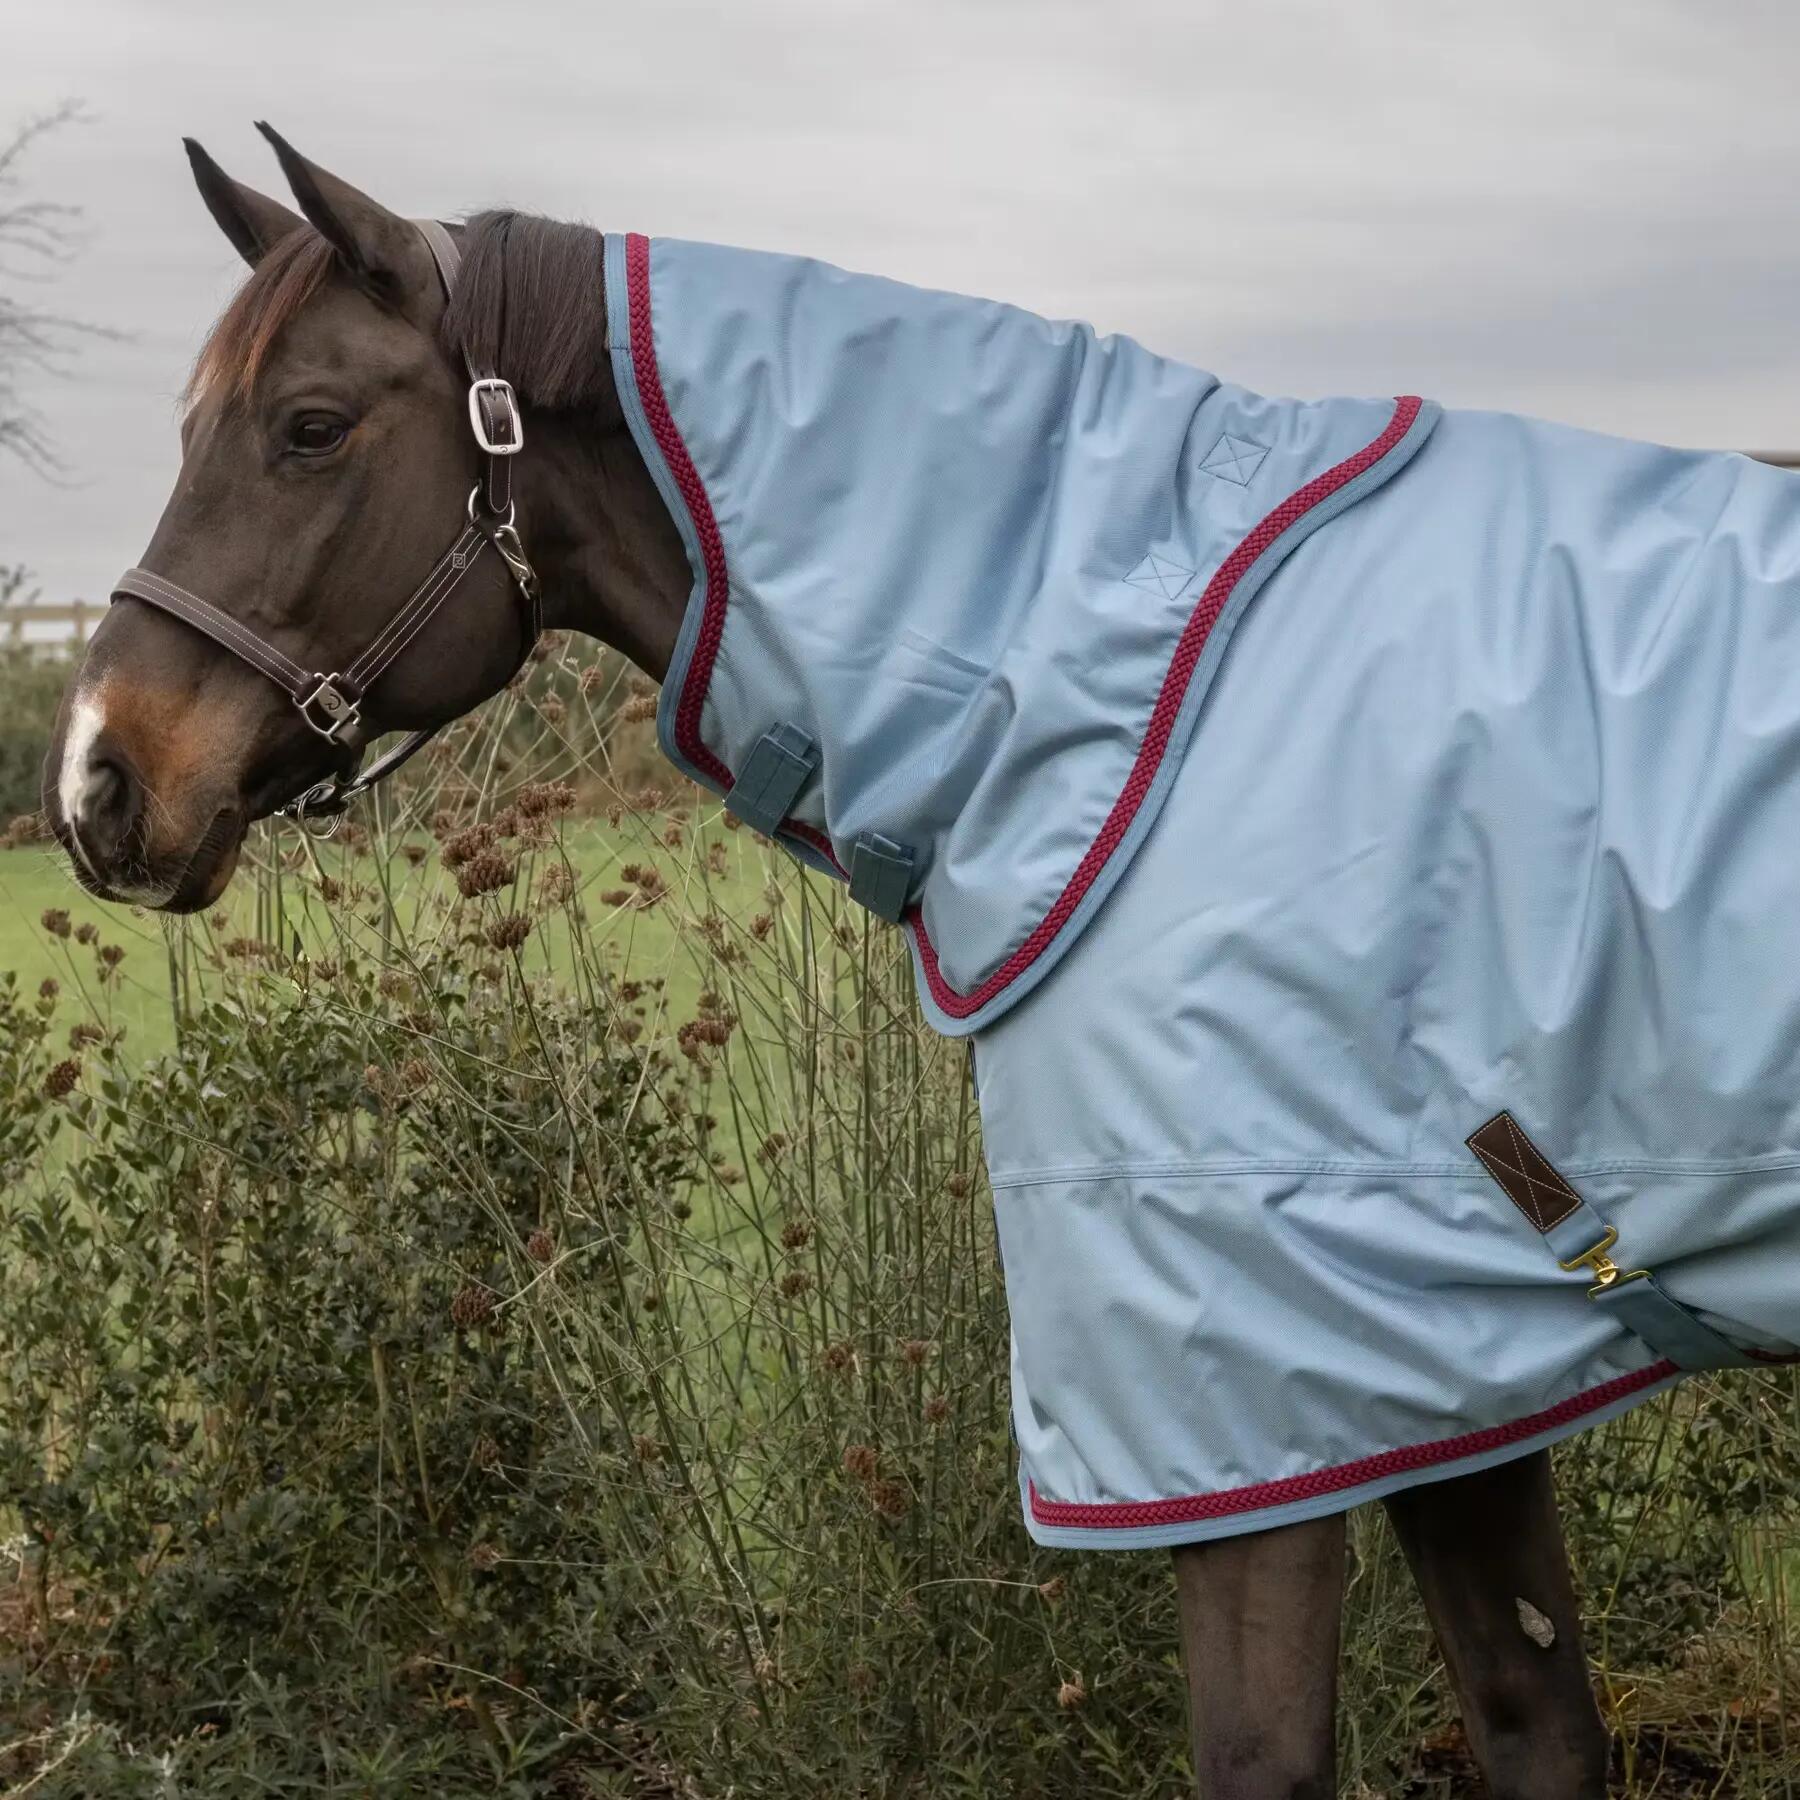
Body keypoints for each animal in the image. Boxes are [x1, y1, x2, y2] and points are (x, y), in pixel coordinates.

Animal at [44, 127, 1800, 1798]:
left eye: (310, 427)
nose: (96, 781)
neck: (1119, 684)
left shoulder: (1258, 1399)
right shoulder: (1434, 1376)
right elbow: (1536, 1728)